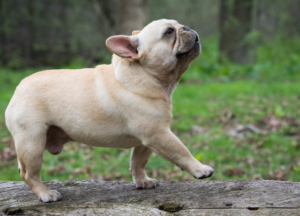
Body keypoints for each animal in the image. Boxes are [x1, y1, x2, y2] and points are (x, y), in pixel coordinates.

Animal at [5, 19, 214, 202]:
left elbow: (138, 162)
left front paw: (142, 182)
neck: (146, 75)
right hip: (32, 143)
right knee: (29, 174)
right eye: (169, 32)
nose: (186, 27)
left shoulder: (146, 139)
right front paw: (200, 169)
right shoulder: (158, 134)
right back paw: (46, 194)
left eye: (178, 25)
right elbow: (181, 151)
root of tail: (17, 89)